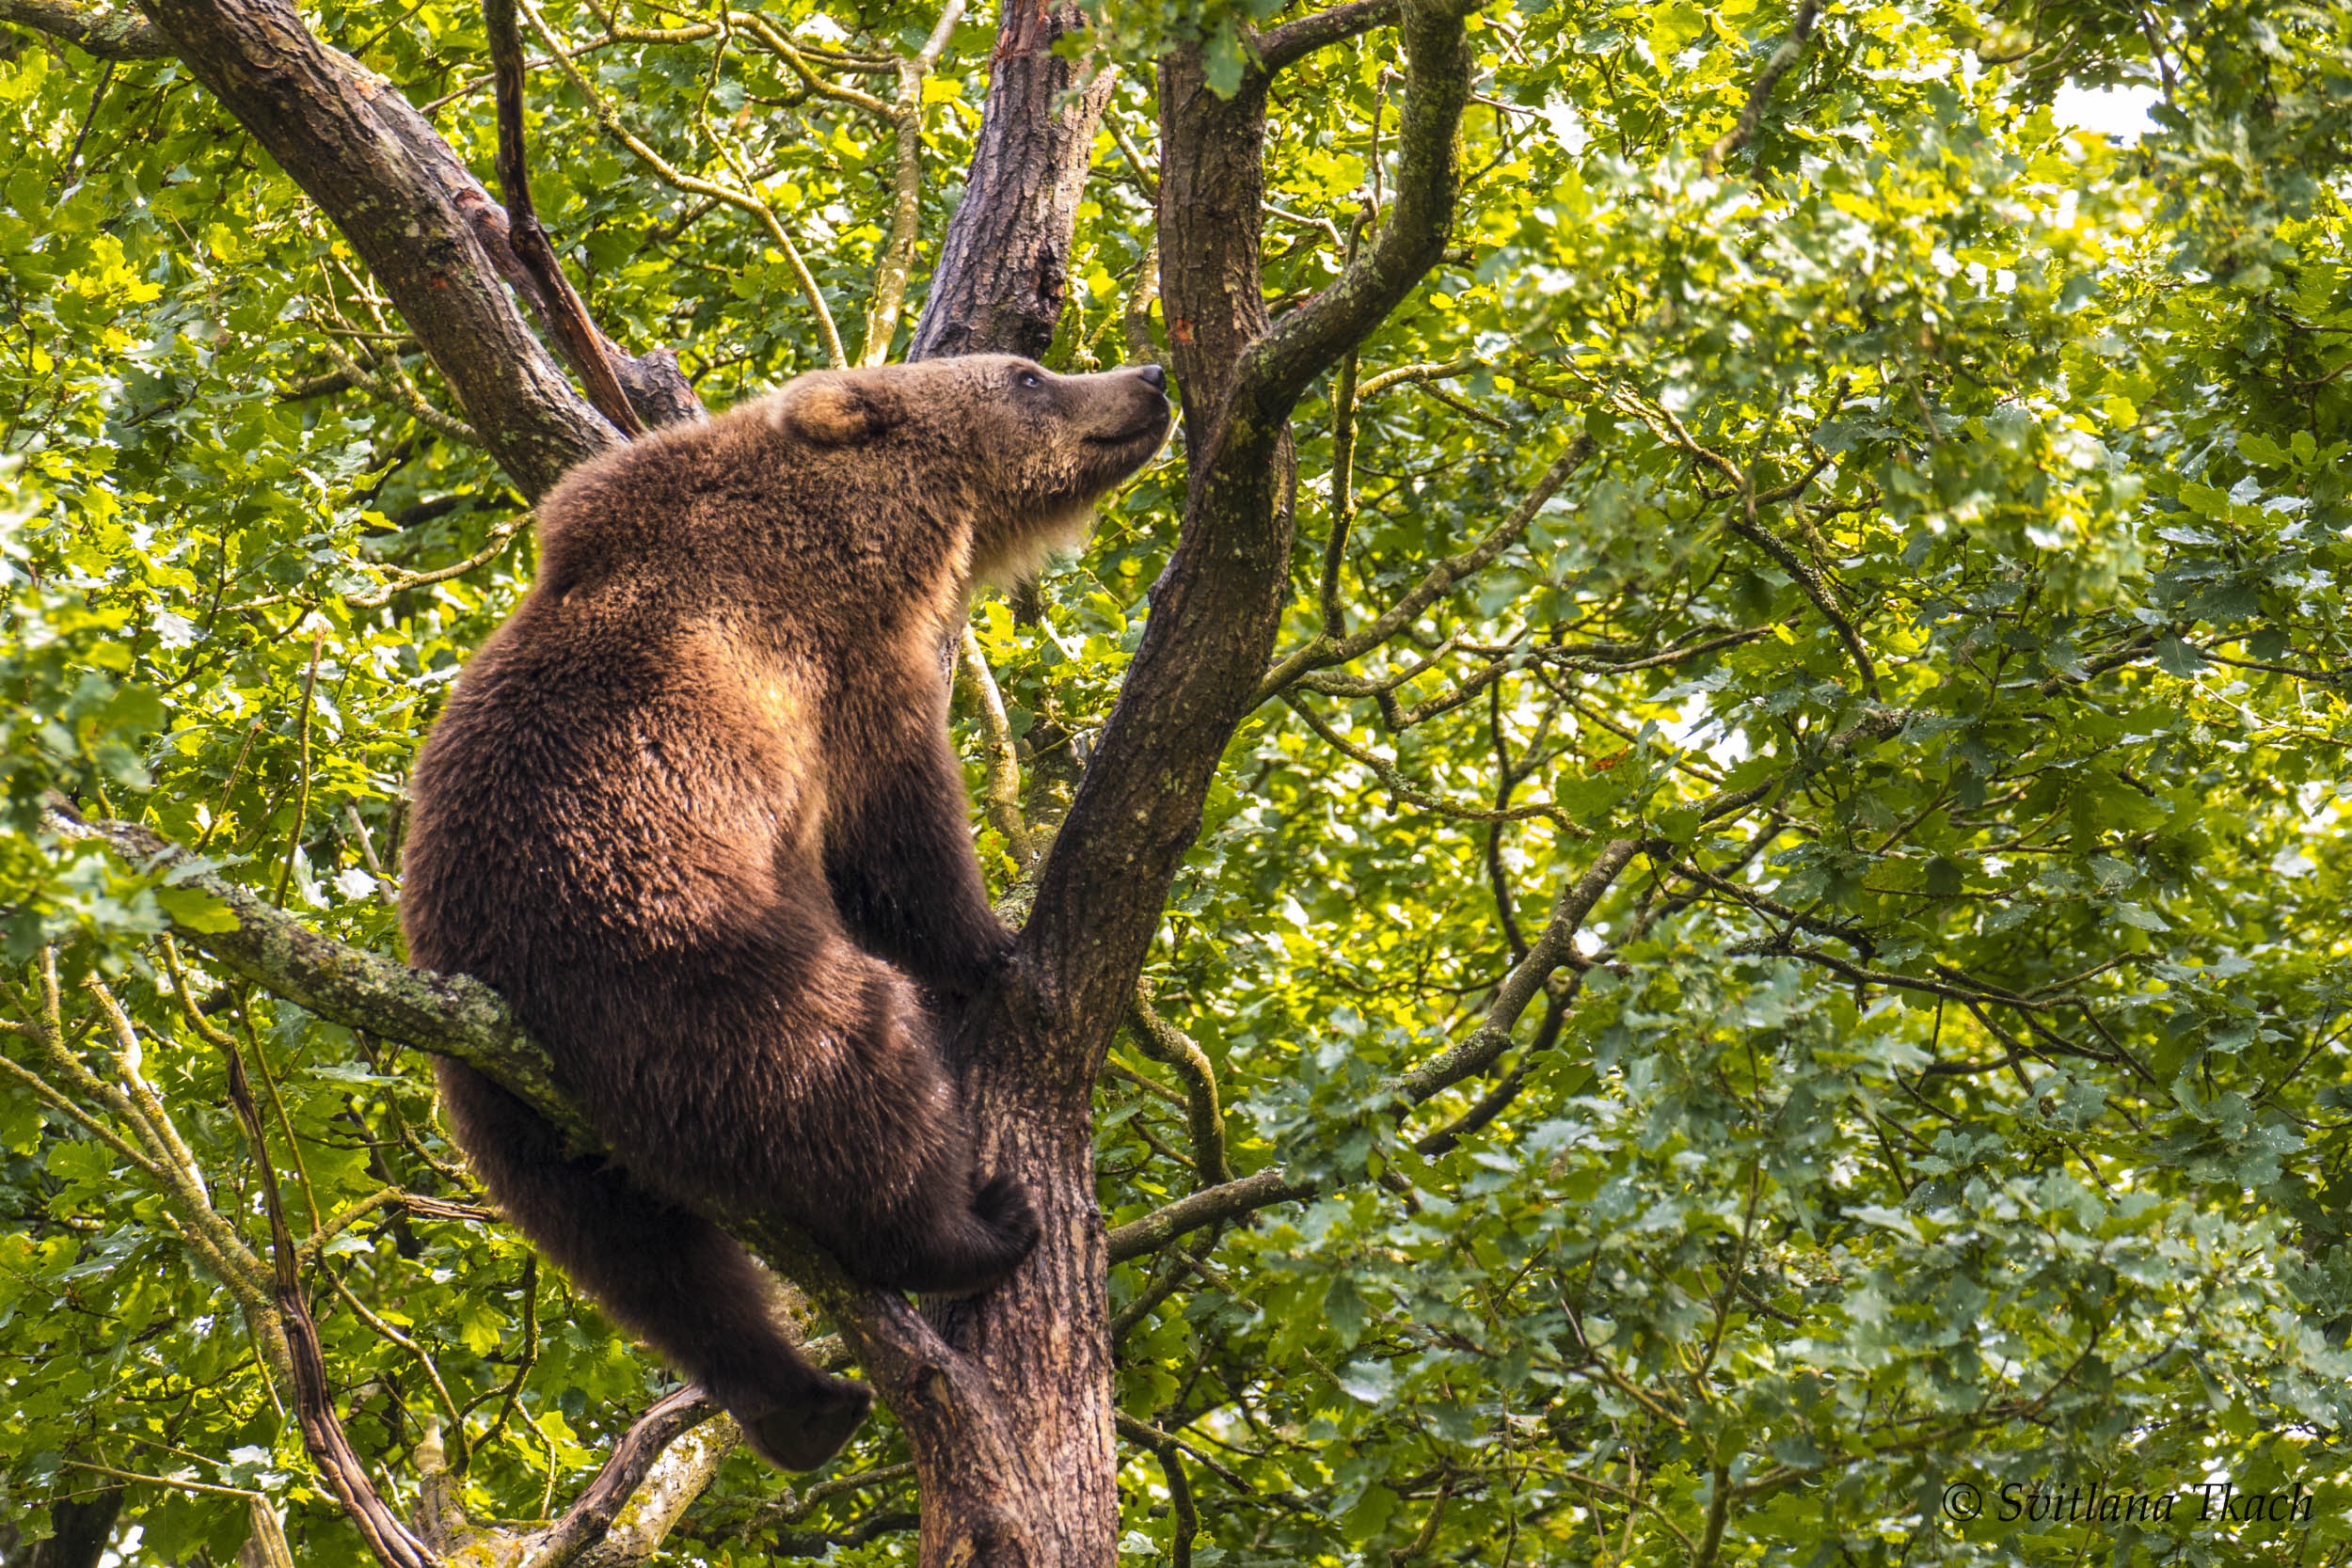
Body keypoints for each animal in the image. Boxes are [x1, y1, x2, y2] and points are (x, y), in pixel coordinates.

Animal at [405, 355, 1176, 1476]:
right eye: (1028, 375)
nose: (1150, 376)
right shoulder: (845, 667)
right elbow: (895, 835)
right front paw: (991, 946)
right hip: (703, 962)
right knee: (853, 1076)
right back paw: (976, 1224)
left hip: (507, 1110)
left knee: (644, 1257)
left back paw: (804, 1404)